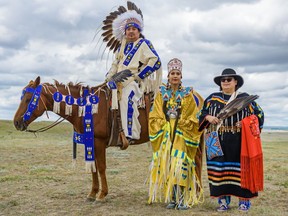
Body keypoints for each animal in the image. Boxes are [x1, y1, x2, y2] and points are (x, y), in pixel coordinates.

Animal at [13, 77, 205, 202]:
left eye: (28, 99)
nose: (16, 122)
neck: (86, 108)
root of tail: (197, 96)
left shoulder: (98, 142)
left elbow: (101, 167)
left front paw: (102, 194)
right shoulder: (89, 143)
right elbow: (93, 168)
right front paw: (92, 193)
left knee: (194, 161)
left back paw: (193, 192)